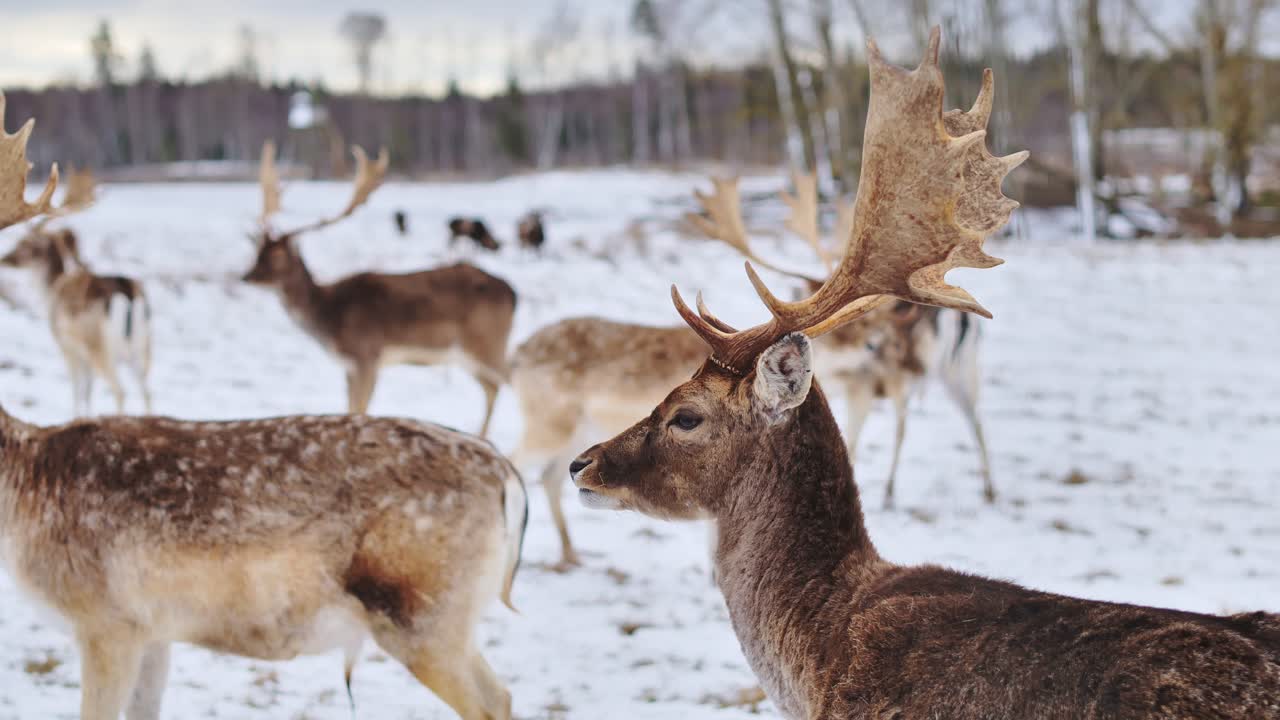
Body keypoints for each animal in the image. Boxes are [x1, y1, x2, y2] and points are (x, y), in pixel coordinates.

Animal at [0, 166, 154, 417]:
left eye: (25, 244)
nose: (5, 258)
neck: (52, 287)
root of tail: (128, 294)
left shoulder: (66, 346)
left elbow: (77, 391)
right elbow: (88, 392)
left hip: (100, 347)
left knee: (120, 390)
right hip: (144, 346)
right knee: (147, 390)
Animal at [244, 142, 515, 437]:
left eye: (277, 255)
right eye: (257, 252)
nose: (246, 277)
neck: (328, 316)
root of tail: (513, 293)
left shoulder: (367, 355)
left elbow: (361, 409)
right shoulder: (349, 365)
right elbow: (349, 407)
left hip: (486, 341)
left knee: (510, 380)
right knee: (492, 388)